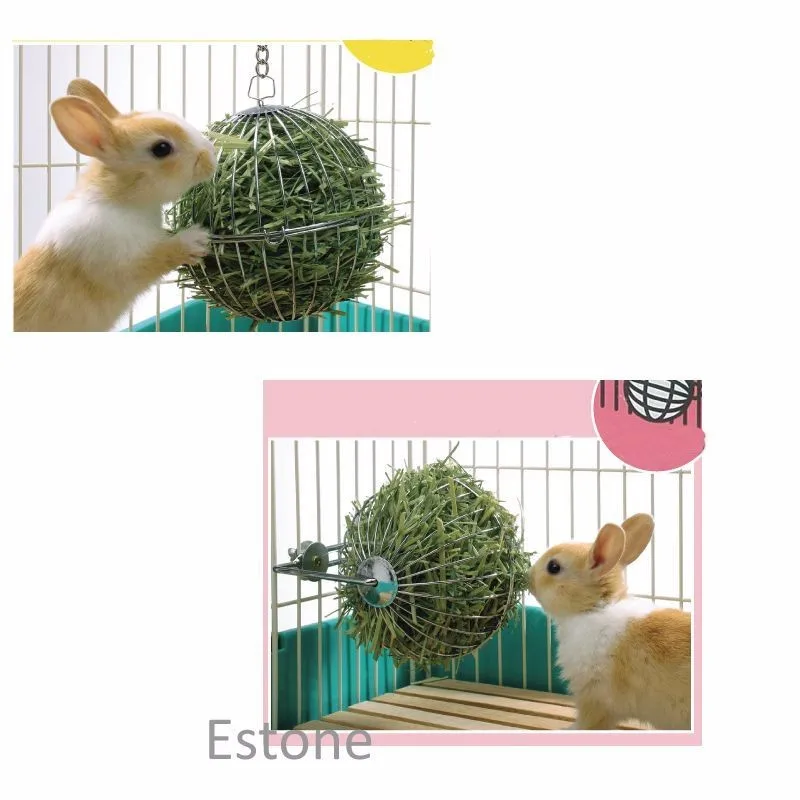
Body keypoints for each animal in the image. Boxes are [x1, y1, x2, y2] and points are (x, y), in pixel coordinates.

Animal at [14, 78, 217, 332]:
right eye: (161, 148)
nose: (211, 155)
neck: (120, 200)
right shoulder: (124, 261)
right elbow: (160, 256)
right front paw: (197, 239)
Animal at [528, 513, 691, 730]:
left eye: (553, 567)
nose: (528, 576)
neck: (595, 608)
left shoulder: (595, 698)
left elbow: (587, 723)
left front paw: (568, 729)